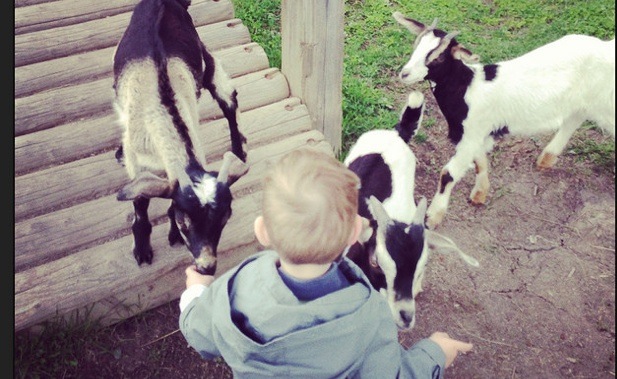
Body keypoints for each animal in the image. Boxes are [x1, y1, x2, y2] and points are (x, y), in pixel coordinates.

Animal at [113, 0, 248, 274]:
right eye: (186, 223)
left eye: (225, 219)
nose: (207, 267)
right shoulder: (137, 160)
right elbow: (140, 203)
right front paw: (142, 249)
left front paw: (171, 234)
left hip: (205, 60)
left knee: (229, 101)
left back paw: (238, 150)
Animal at [392, 11, 612, 230]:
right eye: (416, 46)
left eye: (438, 58)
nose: (405, 74)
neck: (467, 88)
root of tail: (607, 47)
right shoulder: (475, 135)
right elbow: (480, 163)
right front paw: (479, 194)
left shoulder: (470, 135)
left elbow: (448, 173)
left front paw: (432, 216)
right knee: (574, 119)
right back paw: (547, 157)